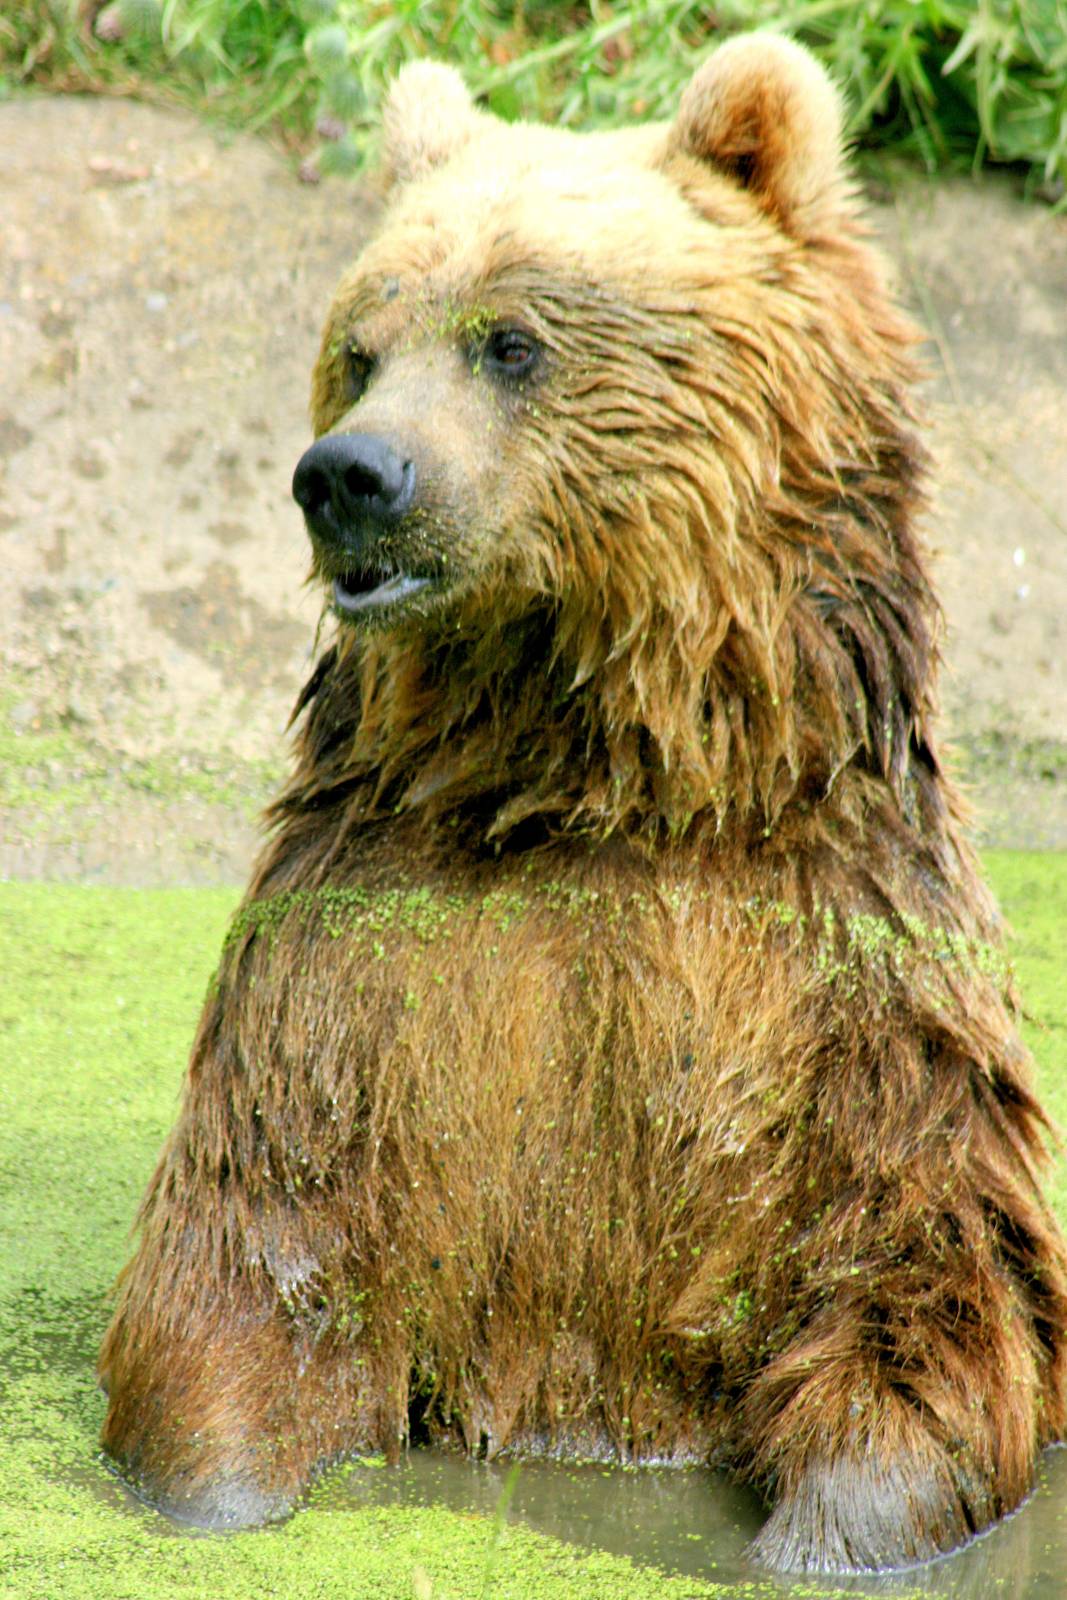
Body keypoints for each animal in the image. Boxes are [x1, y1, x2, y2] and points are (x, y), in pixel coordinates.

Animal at [99, 32, 1067, 1573]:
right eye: (360, 348)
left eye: (510, 340)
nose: (350, 475)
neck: (591, 775)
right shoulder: (350, 978)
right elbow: (244, 1272)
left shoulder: (848, 988)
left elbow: (923, 1301)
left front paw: (812, 1546)